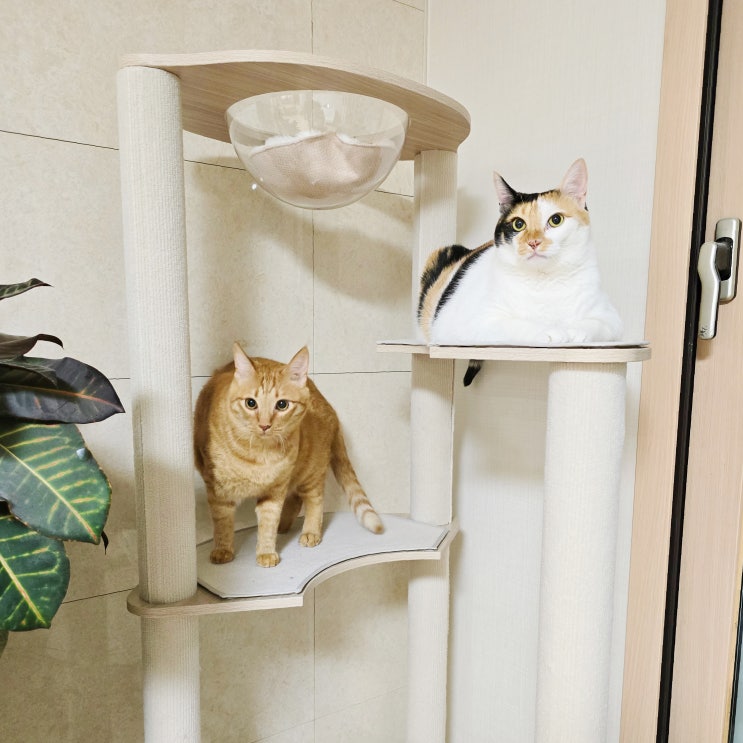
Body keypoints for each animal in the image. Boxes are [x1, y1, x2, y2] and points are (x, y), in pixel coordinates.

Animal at [193, 343, 384, 567]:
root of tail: (330, 407)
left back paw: (310, 532)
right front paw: (223, 550)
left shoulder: (275, 490)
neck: (259, 454)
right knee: (295, 499)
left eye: (282, 405)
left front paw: (266, 551)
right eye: (251, 403)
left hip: (310, 470)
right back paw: (284, 526)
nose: (265, 425)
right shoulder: (218, 491)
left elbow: (268, 522)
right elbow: (222, 523)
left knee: (314, 500)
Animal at [417, 158, 622, 385]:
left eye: (556, 220)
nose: (533, 242)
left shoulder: (612, 319)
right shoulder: (478, 323)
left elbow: (596, 324)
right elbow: (518, 325)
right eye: (518, 224)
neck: (546, 280)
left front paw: (574, 331)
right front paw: (553, 332)